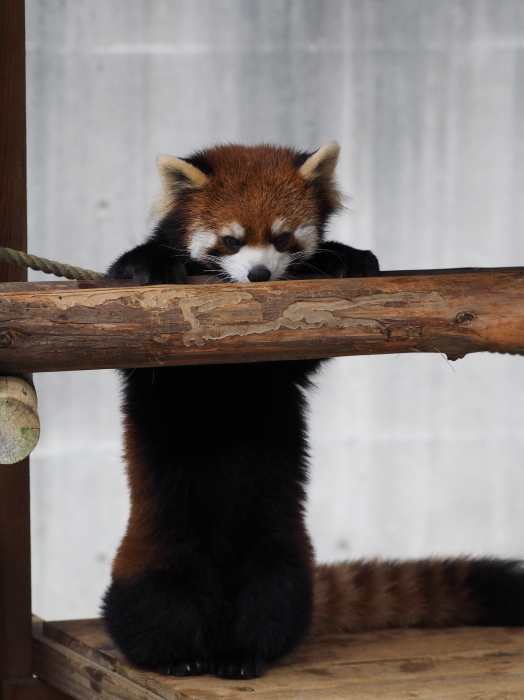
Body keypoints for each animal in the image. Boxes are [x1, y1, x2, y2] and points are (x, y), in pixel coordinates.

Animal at [104, 141, 524, 680]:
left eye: (281, 238)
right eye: (230, 241)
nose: (259, 275)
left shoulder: (284, 360)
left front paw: (347, 256)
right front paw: (151, 265)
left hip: (280, 560)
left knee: (270, 605)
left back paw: (242, 655)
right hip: (153, 557)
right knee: (153, 609)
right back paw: (178, 657)